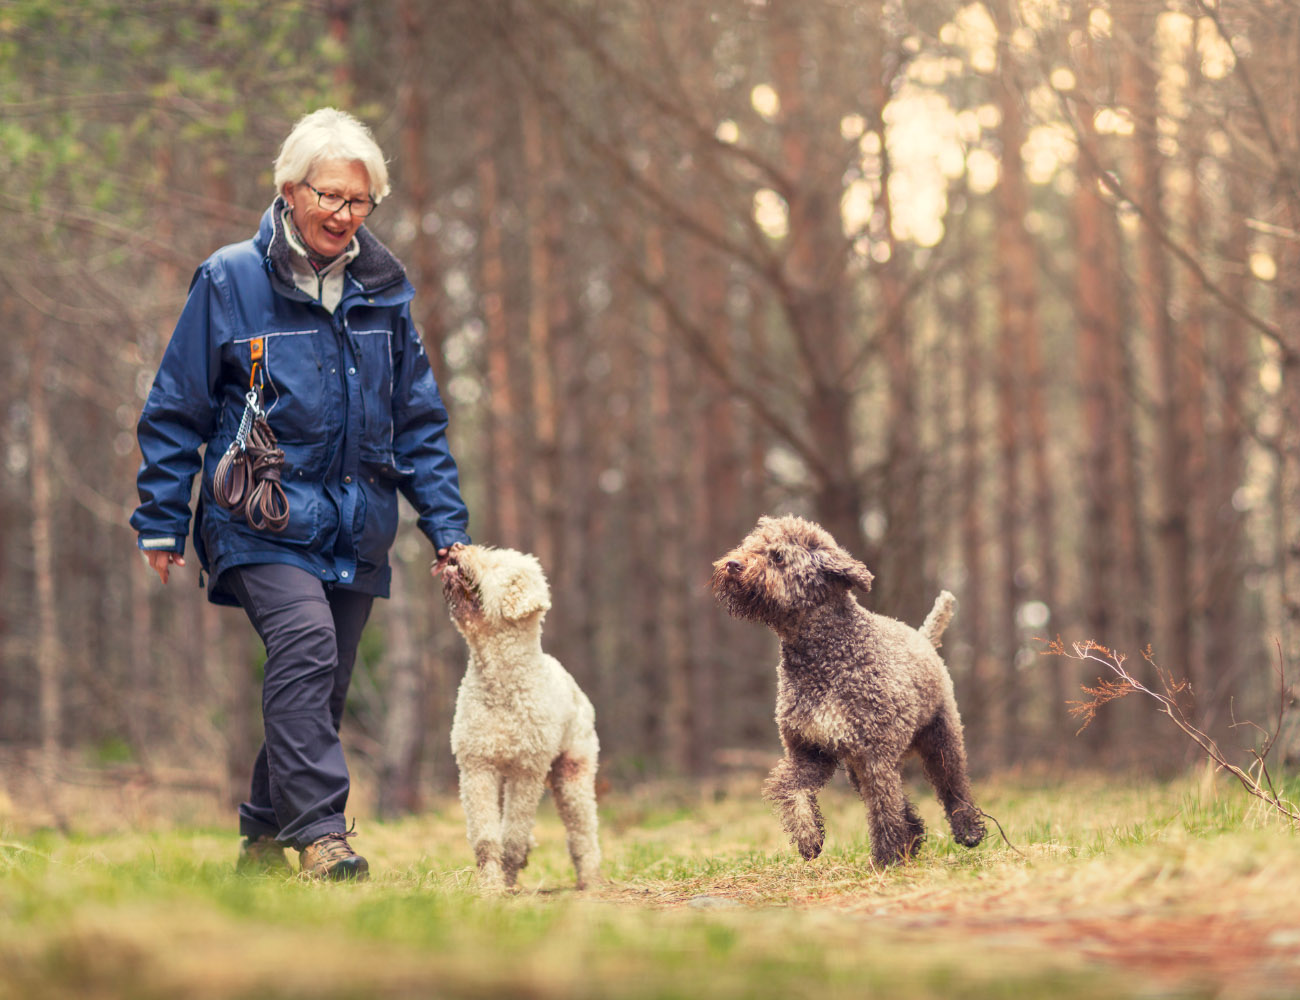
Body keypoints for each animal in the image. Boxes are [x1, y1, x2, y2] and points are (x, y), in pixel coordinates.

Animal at [436, 540, 598, 894]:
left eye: (496, 564)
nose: (455, 545)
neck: (500, 684)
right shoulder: (477, 767)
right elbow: (487, 837)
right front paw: (492, 885)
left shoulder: (527, 770)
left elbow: (512, 836)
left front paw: (507, 881)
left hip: (573, 773)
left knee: (582, 830)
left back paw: (590, 880)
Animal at [712, 514, 982, 863]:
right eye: (750, 546)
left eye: (777, 556)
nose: (733, 564)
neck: (822, 658)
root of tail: (923, 637)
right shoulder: (811, 750)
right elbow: (789, 788)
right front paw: (809, 838)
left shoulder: (874, 754)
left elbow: (883, 809)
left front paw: (887, 859)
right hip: (857, 765)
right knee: (903, 801)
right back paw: (912, 838)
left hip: (940, 738)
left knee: (953, 786)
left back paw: (968, 831)